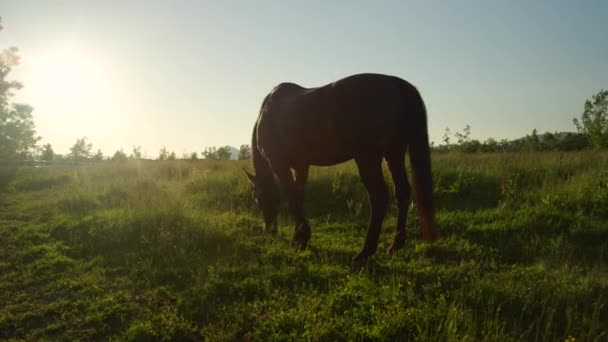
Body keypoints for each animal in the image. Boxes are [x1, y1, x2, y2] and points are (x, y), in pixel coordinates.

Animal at [245, 73, 440, 260]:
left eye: (257, 199)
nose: (269, 230)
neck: (267, 111)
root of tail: (397, 84)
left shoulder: (279, 163)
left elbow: (292, 197)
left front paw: (302, 237)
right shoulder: (301, 166)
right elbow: (298, 197)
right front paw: (300, 238)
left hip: (368, 158)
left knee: (378, 197)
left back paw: (365, 252)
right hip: (393, 154)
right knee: (402, 193)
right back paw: (395, 245)